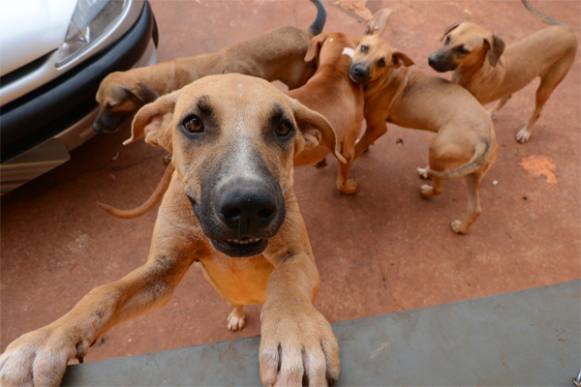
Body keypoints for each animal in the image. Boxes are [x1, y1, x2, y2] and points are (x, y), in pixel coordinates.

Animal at [1, 74, 344, 386]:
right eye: (193, 124)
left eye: (283, 128)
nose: (248, 206)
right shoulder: (163, 270)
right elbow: (104, 291)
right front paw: (46, 339)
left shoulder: (295, 255)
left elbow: (287, 283)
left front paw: (297, 334)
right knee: (234, 299)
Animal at [93, 0, 324, 133]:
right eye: (98, 103)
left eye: (111, 105)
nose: (94, 128)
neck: (159, 79)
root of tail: (306, 33)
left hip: (298, 81)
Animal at [346, 9, 496, 233]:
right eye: (364, 47)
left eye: (382, 62)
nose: (359, 71)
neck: (383, 80)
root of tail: (484, 137)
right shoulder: (372, 127)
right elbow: (363, 142)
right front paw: (363, 147)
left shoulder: (378, 127)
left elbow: (357, 148)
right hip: (473, 174)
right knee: (476, 207)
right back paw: (461, 227)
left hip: (437, 149)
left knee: (440, 187)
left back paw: (427, 191)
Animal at [426, 0, 576, 144]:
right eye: (448, 38)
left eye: (463, 50)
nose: (431, 60)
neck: (472, 73)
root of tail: (568, 29)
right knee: (507, 96)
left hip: (547, 87)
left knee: (538, 111)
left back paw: (526, 132)